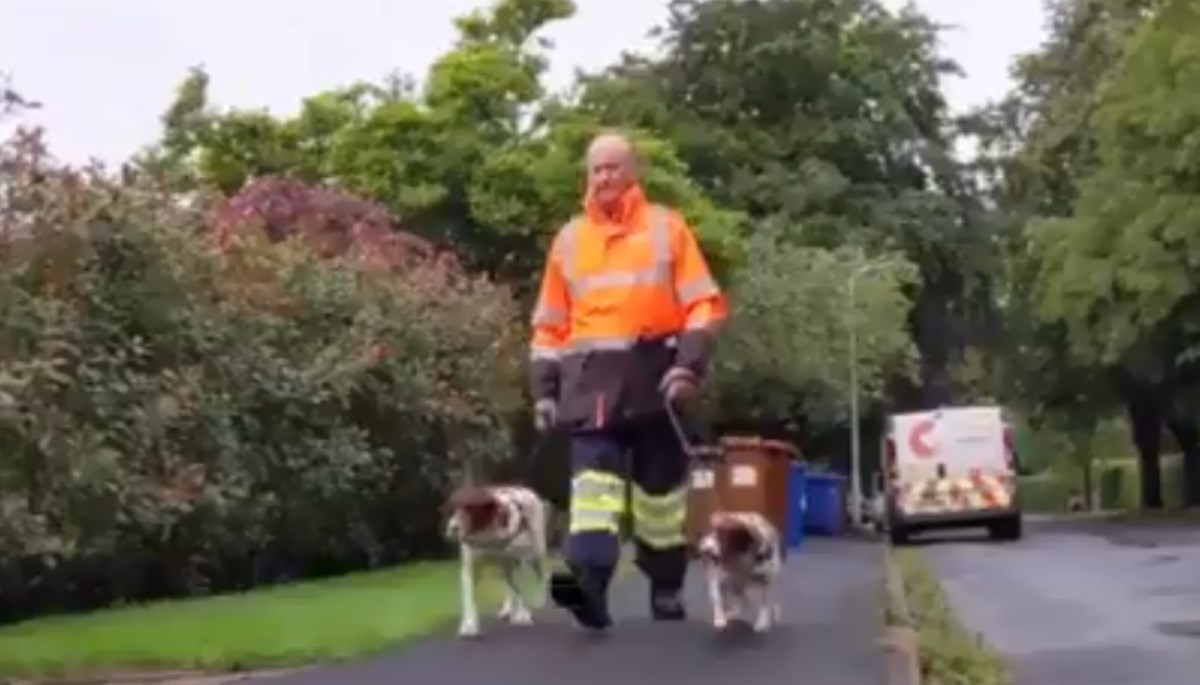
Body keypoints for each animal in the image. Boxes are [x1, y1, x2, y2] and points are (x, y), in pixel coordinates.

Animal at [444, 484, 549, 643]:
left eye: (470, 507)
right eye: (452, 508)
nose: (453, 528)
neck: (487, 535)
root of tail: (523, 489)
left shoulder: (519, 559)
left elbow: (519, 588)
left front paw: (521, 615)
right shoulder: (470, 567)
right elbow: (469, 597)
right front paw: (469, 625)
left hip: (537, 550)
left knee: (541, 574)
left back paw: (539, 600)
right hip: (506, 566)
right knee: (509, 585)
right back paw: (507, 609)